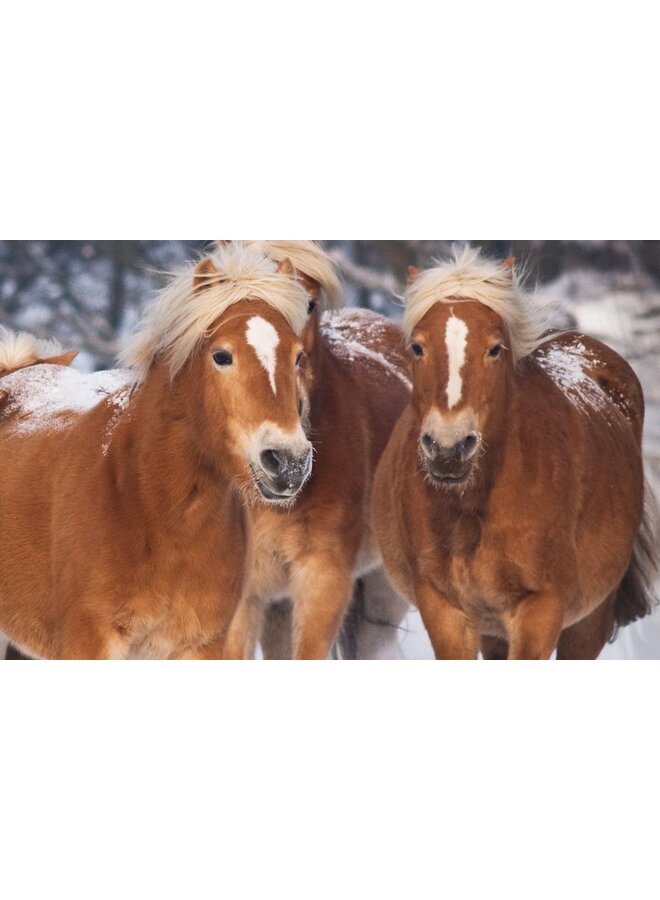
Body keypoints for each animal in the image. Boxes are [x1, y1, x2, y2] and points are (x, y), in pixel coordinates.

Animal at [372, 246, 657, 660]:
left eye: (494, 348)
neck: (474, 507)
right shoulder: (445, 610)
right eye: (417, 347)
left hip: (589, 621)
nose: (448, 448)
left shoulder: (539, 609)